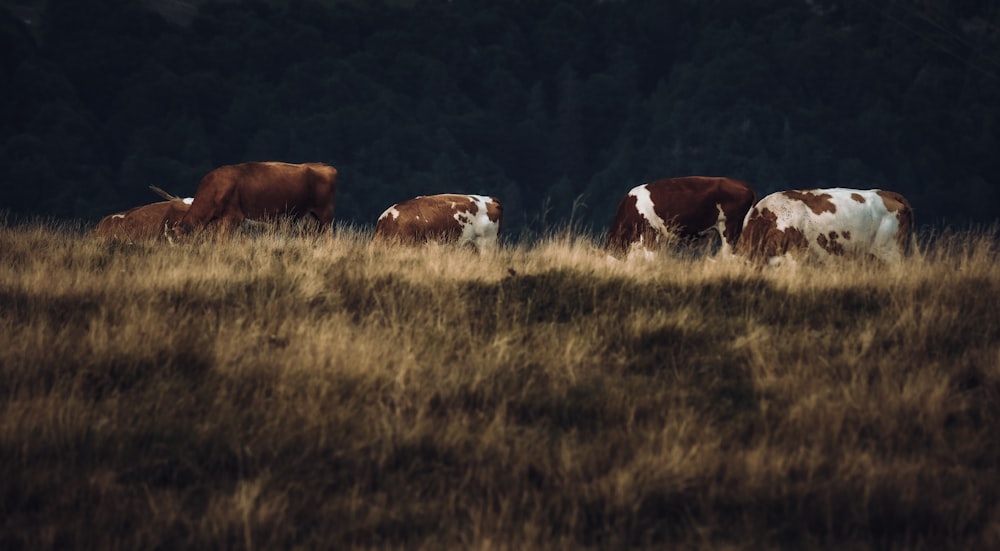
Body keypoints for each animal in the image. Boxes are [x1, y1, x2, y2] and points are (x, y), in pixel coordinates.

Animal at [165, 163, 336, 243]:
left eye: (179, 241)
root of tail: (324, 166)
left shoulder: (232, 217)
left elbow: (223, 240)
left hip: (325, 215)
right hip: (313, 217)